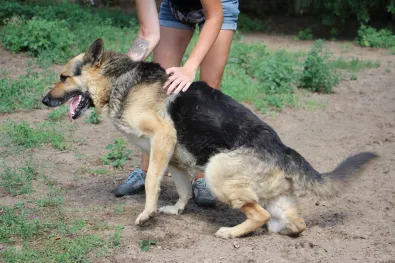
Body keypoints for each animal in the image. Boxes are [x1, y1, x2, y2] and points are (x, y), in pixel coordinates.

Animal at [41, 39, 378, 239]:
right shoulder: (173, 158)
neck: (119, 81)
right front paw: (176, 210)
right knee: (294, 223)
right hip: (275, 200)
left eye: (63, 77)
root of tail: (283, 149)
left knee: (260, 214)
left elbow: (151, 183)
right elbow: (183, 189)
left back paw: (231, 232)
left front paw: (148, 214)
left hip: (217, 171)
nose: (43, 100)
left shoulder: (163, 138)